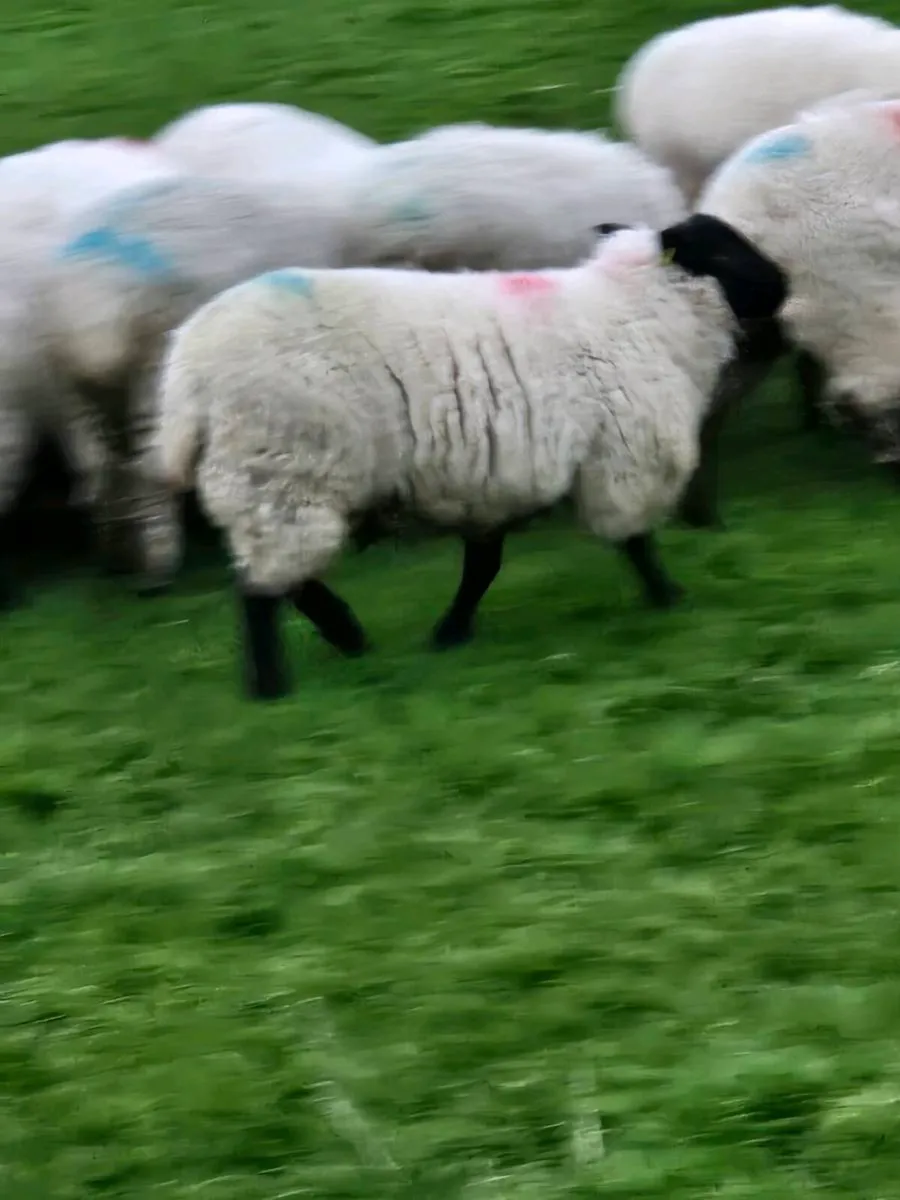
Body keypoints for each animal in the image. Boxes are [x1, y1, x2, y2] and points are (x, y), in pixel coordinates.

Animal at [42, 172, 358, 591]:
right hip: (155, 372)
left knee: (95, 469)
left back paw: (117, 555)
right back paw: (159, 564)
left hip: (72, 389)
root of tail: (91, 304)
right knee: (149, 467)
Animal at [148, 214, 788, 700]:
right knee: (264, 587)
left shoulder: (498, 470)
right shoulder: (621, 455)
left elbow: (483, 565)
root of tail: (187, 370)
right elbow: (635, 541)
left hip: (265, 476)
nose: (783, 283)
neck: (636, 311)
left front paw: (451, 632)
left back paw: (347, 639)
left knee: (278, 575)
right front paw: (668, 598)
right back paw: (277, 684)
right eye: (723, 252)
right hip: (281, 465)